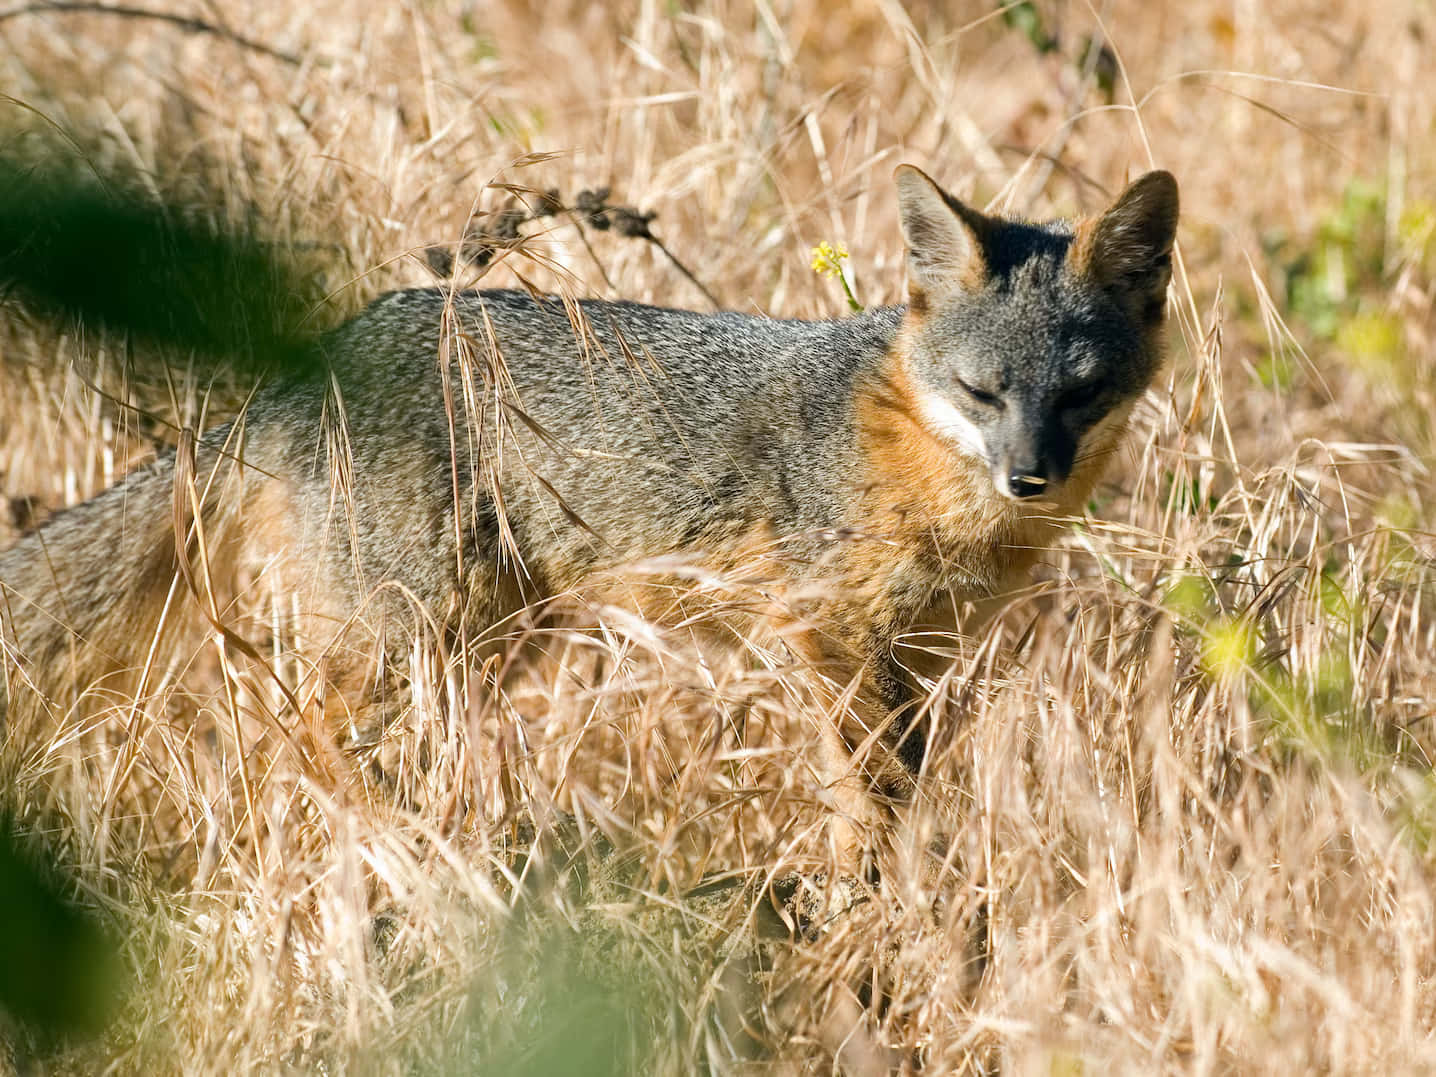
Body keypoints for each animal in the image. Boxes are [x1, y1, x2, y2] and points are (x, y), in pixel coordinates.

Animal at [0, 162, 1177, 832]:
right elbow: (872, 799)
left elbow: (901, 790)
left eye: (1080, 394)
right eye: (983, 392)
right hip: (409, 630)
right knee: (300, 734)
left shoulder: (919, 658)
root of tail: (302, 361)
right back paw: (416, 856)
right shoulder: (829, 634)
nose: (1031, 474)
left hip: (480, 637)